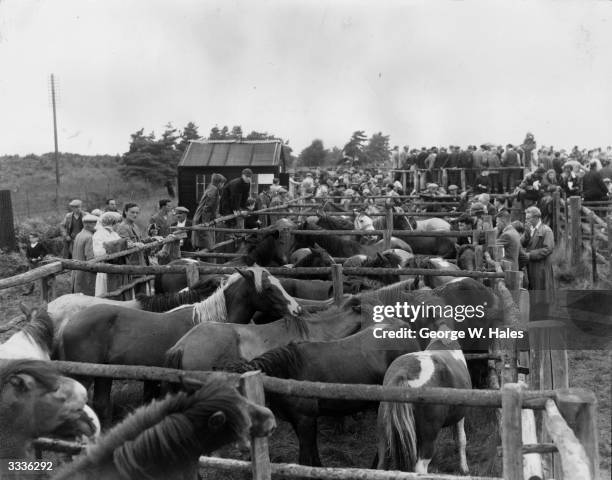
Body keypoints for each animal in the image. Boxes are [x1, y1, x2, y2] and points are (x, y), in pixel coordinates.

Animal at [58, 266, 302, 428]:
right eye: (269, 288)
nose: (297, 309)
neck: (207, 321)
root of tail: (66, 322)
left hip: (103, 374)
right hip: (84, 376)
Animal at [376, 324, 470, 474]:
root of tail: (404, 374)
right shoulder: (460, 416)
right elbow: (461, 440)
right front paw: (464, 469)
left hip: (384, 436)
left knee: (382, 464)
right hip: (428, 436)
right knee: (420, 467)